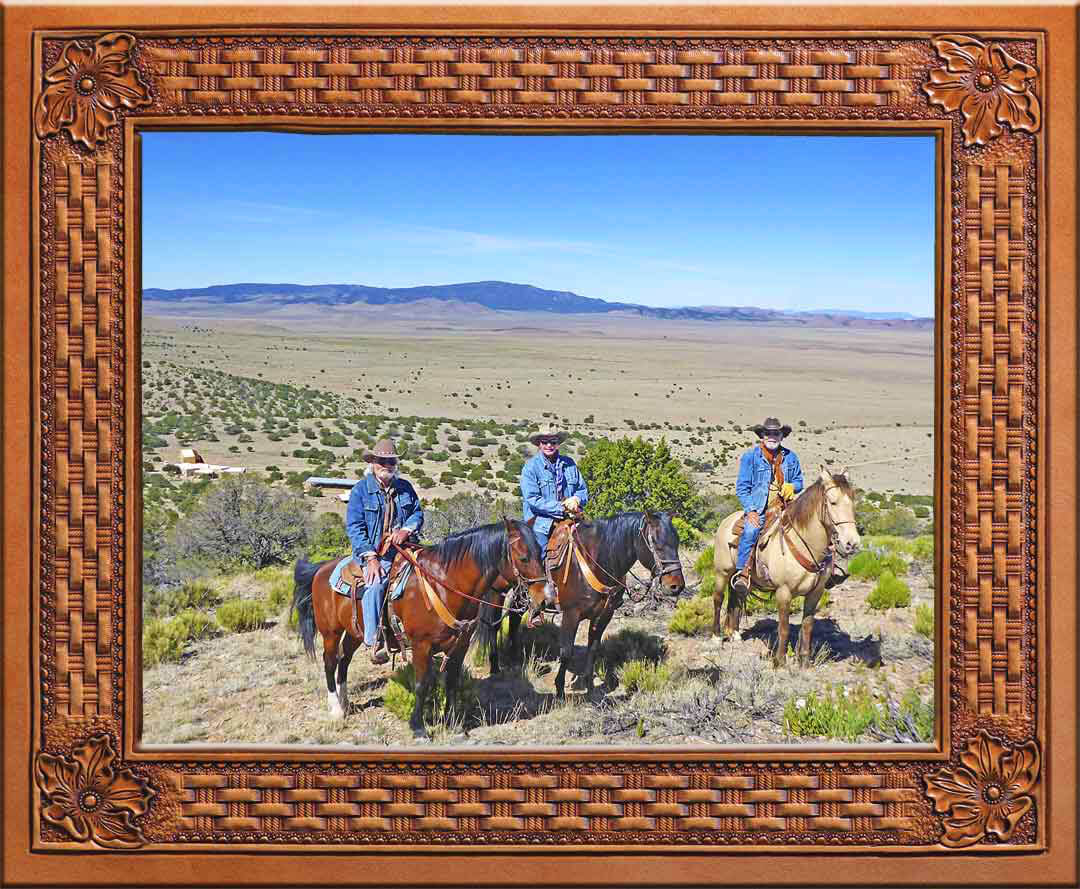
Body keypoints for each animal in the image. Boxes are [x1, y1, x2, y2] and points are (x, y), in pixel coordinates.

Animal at [291, 514, 548, 738]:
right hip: (330, 632)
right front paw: (418, 727)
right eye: (524, 558)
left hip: (355, 633)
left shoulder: (460, 645)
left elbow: (452, 682)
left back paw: (345, 703)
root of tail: (322, 568)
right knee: (330, 661)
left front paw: (453, 723)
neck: (444, 584)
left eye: (541, 553)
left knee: (344, 660)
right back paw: (336, 709)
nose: (545, 598)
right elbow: (421, 684)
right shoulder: (421, 646)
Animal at [481, 514, 682, 704]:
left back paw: (515, 658)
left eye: (677, 541)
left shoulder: (604, 615)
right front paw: (560, 690)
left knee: (514, 619)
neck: (595, 561)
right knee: (493, 624)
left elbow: (593, 648)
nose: (676, 586)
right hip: (495, 591)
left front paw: (590, 687)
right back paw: (495, 666)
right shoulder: (571, 614)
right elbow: (566, 652)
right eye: (656, 543)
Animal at [712, 466, 855, 665]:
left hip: (739, 576)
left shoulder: (815, 593)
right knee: (718, 599)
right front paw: (780, 661)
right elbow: (784, 627)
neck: (804, 543)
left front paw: (804, 661)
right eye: (833, 502)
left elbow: (807, 625)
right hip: (722, 572)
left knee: (737, 596)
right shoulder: (784, 592)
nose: (852, 543)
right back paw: (716, 637)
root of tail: (728, 520)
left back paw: (734, 634)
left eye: (853, 503)